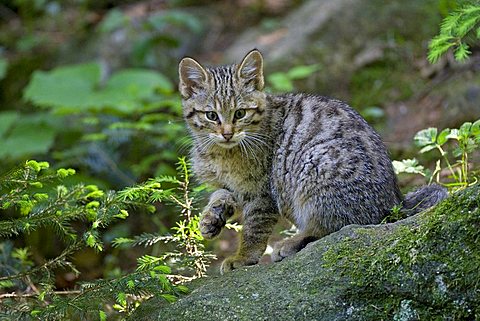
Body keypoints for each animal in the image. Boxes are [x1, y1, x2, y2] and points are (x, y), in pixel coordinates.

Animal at [178, 49, 448, 272]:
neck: (221, 151)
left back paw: (292, 242)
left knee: (340, 225)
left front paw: (243, 257)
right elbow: (221, 194)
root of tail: (394, 203)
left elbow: (254, 228)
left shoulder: (262, 193)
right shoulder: (230, 184)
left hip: (316, 164)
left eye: (240, 113)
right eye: (211, 115)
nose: (227, 133)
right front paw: (211, 218)